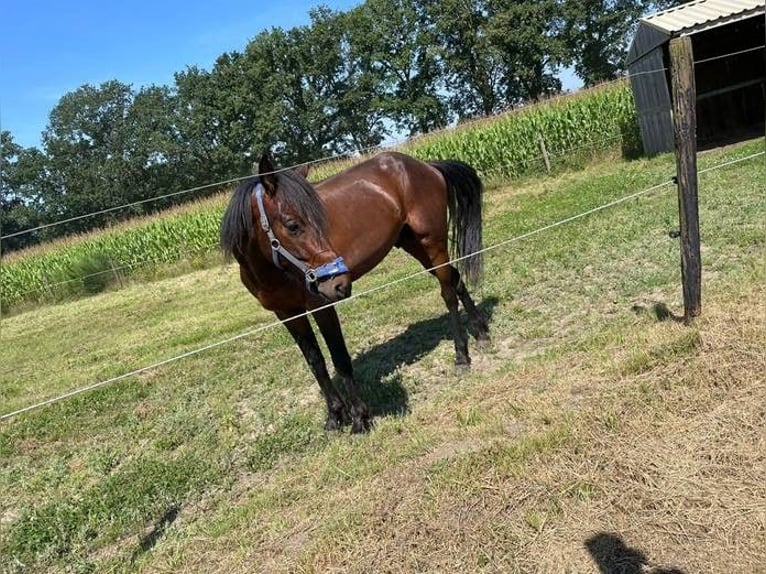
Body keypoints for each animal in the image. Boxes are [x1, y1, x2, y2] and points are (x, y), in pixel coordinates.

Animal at [219, 152, 488, 432]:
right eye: (292, 225)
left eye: (321, 221)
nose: (339, 283)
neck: (270, 270)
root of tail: (424, 165)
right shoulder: (288, 314)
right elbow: (316, 363)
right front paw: (334, 417)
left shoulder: (321, 306)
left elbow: (339, 358)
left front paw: (360, 418)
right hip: (414, 245)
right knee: (456, 280)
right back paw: (481, 332)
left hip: (432, 243)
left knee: (448, 294)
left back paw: (461, 357)